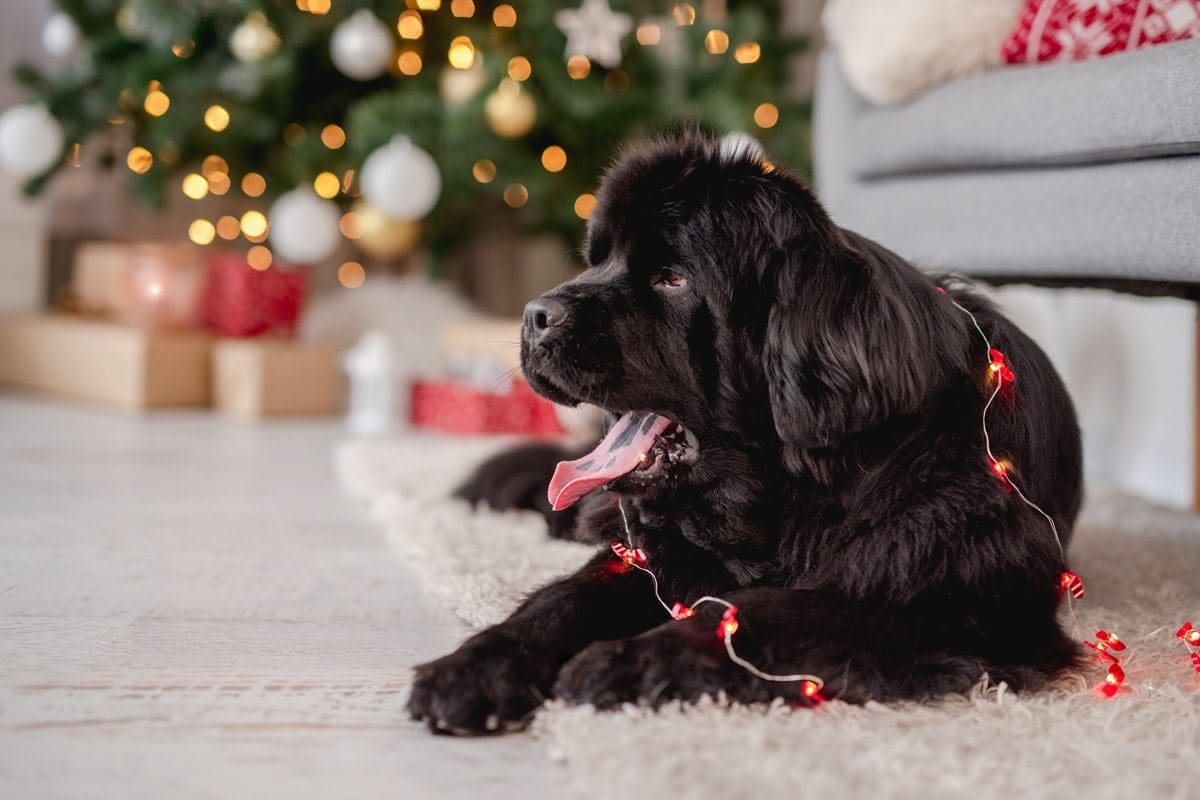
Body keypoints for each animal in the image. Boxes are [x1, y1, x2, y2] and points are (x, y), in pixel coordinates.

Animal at [408, 133, 1084, 738]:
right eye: (597, 259)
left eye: (673, 279)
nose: (535, 315)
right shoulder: (653, 557)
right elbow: (563, 601)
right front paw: (476, 666)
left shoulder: (953, 600)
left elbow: (763, 612)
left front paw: (628, 661)